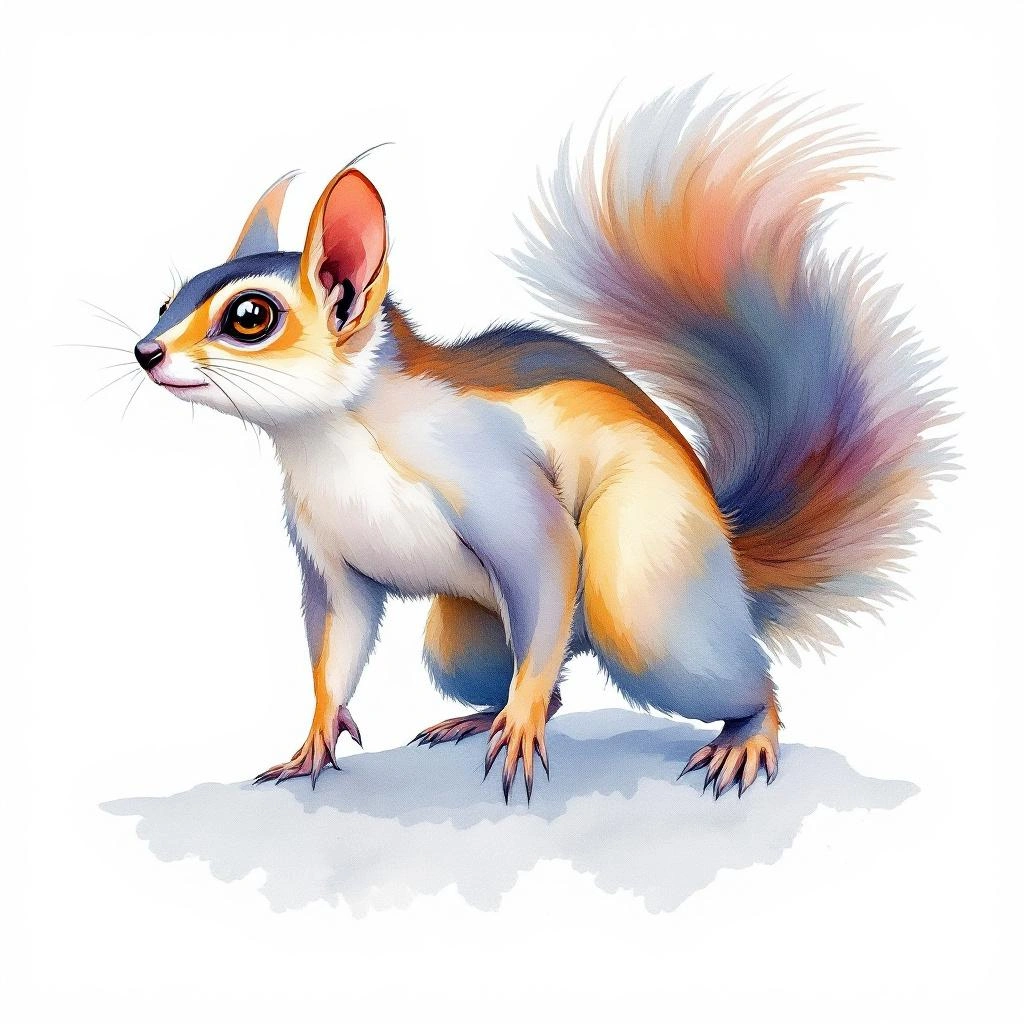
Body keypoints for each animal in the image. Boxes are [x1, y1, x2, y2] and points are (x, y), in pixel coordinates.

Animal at [130, 84, 953, 800]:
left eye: (250, 317)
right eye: (167, 298)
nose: (146, 352)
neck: (330, 436)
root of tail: (728, 547)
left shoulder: (496, 482)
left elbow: (548, 554)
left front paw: (519, 727)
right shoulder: (328, 558)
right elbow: (338, 644)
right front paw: (314, 739)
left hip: (643, 592)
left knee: (702, 668)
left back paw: (742, 734)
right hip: (460, 642)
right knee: (546, 674)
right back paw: (477, 716)